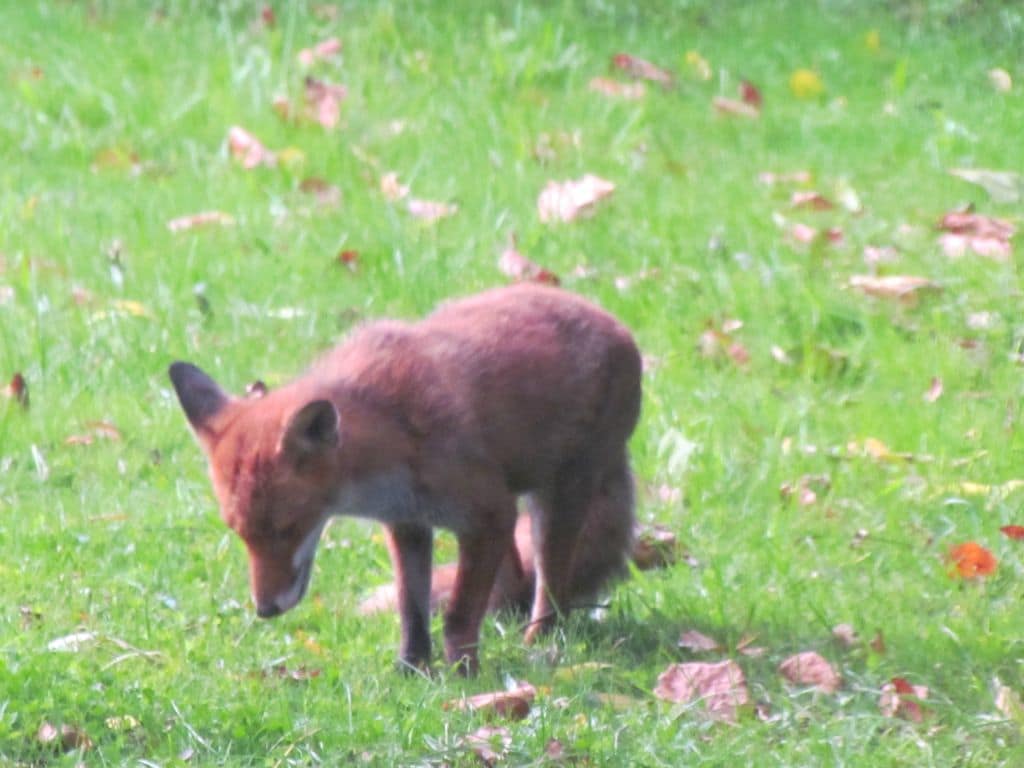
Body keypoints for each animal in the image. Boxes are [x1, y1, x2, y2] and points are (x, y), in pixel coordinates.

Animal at [169, 283, 642, 674]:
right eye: (240, 533)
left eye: (286, 528)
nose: (266, 609)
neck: (388, 443)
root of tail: (614, 322)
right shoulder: (408, 525)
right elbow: (411, 608)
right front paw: (412, 669)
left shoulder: (486, 512)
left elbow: (457, 614)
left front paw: (463, 674)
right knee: (511, 579)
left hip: (556, 503)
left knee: (549, 586)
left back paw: (538, 642)